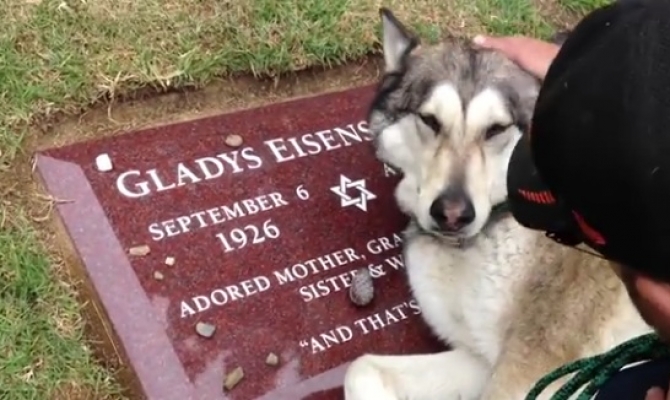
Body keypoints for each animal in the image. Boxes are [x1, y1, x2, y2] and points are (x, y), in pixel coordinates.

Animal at [342, 9, 652, 400]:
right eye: (430, 120)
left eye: (495, 129)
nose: (452, 215)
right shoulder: (479, 358)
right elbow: (359, 366)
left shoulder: (528, 371)